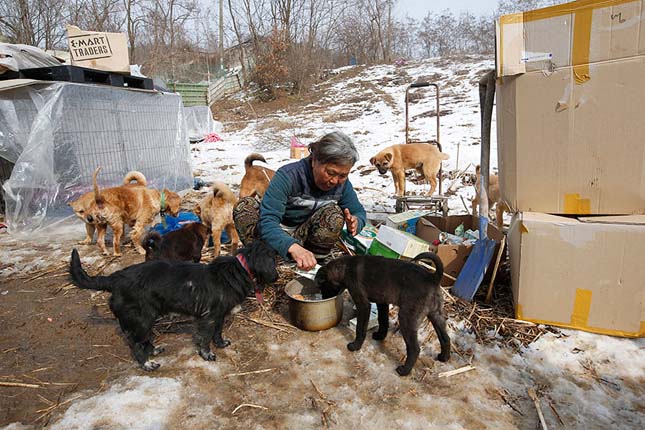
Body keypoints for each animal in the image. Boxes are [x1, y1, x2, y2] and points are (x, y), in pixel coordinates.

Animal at [70, 240, 276, 372]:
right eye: (273, 259)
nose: (277, 277)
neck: (239, 269)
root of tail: (114, 278)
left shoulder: (218, 316)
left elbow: (217, 333)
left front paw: (220, 344)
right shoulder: (208, 318)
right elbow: (205, 339)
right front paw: (207, 354)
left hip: (145, 319)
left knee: (143, 341)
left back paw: (153, 351)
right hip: (142, 320)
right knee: (135, 344)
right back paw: (147, 364)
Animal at [314, 252, 450, 376]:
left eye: (323, 287)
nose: (324, 298)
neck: (345, 267)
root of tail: (433, 278)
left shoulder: (363, 304)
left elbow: (360, 328)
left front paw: (355, 346)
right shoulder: (382, 302)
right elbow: (383, 320)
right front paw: (380, 335)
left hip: (407, 318)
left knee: (414, 348)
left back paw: (404, 370)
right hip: (436, 314)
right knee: (445, 338)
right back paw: (444, 357)